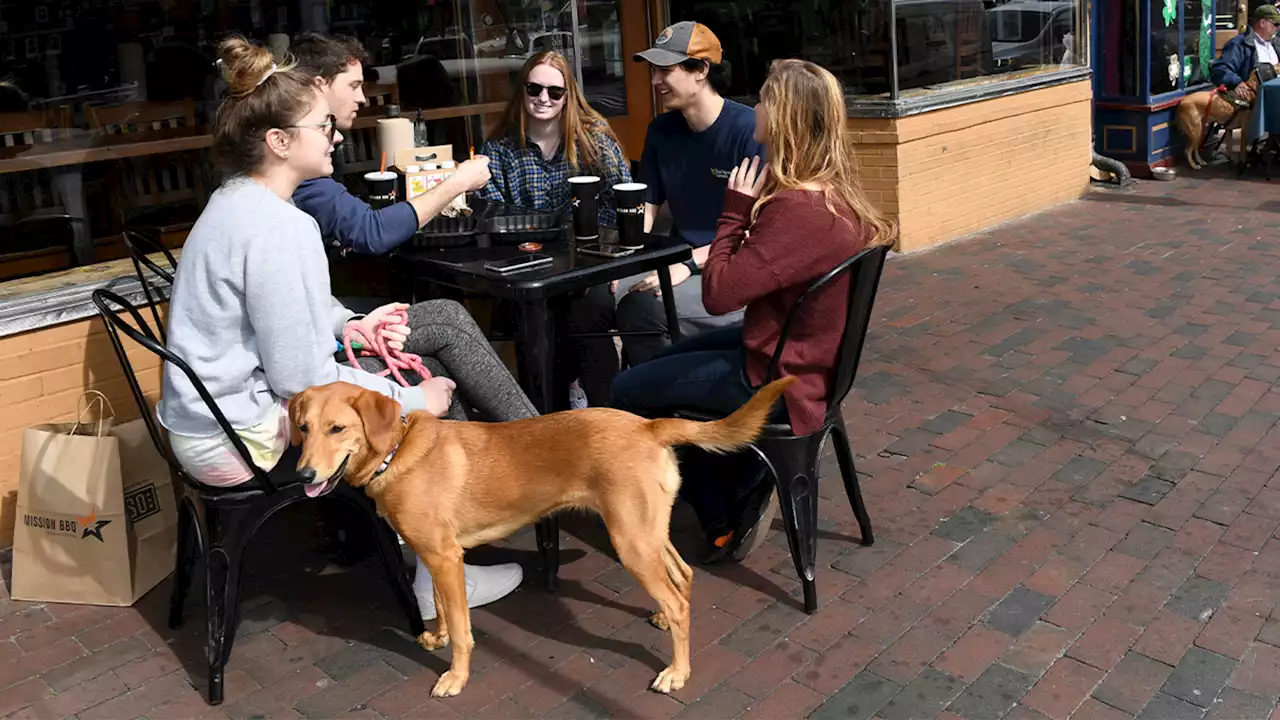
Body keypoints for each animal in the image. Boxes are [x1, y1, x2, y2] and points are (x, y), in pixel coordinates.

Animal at [289, 376, 793, 696]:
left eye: (338, 429)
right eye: (304, 428)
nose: (303, 475)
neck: (396, 452)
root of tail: (648, 424)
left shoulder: (446, 557)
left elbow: (465, 630)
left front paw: (456, 676)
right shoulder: (433, 555)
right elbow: (445, 611)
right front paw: (437, 636)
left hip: (631, 542)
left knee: (678, 599)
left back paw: (677, 672)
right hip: (648, 532)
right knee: (682, 577)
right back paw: (666, 624)